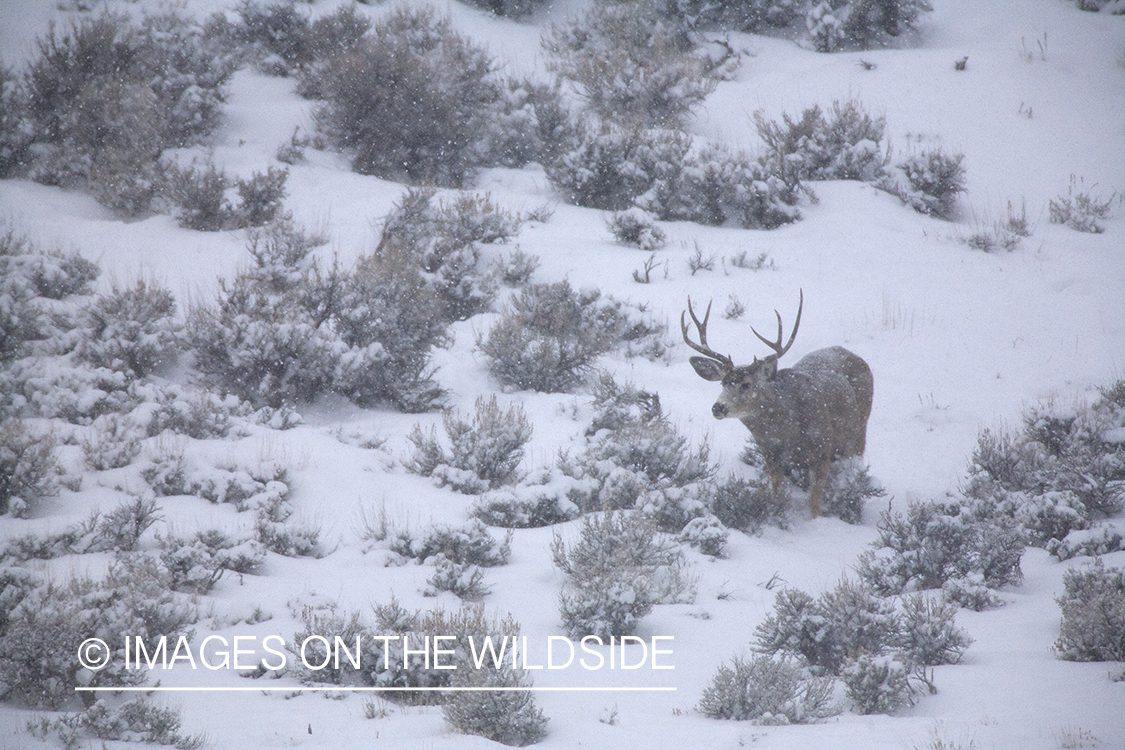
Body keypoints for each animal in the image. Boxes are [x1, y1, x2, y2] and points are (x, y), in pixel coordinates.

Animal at [681, 291, 873, 518]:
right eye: (723, 382)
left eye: (747, 384)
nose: (718, 407)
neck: (787, 430)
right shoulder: (771, 455)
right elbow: (778, 493)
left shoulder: (822, 451)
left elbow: (814, 505)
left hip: (859, 430)